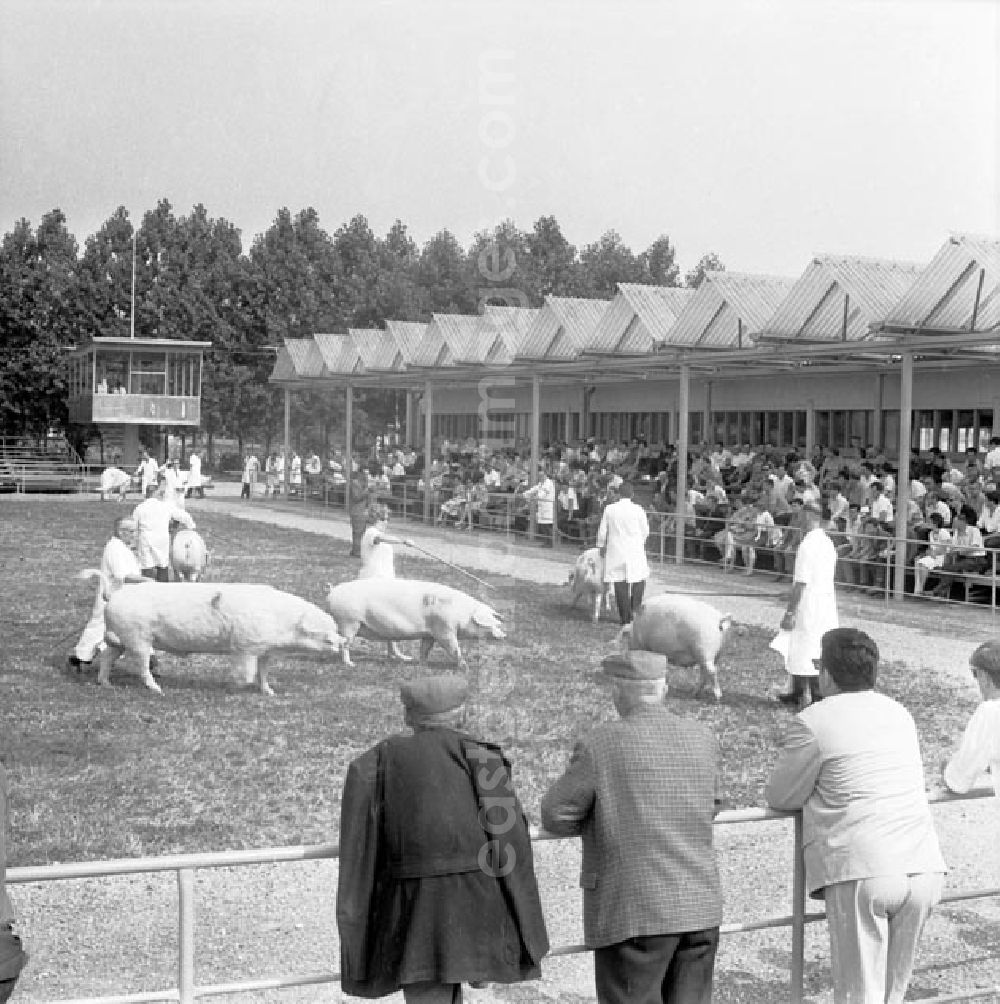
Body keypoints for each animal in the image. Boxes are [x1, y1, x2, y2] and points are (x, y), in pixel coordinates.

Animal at [99, 586, 345, 694]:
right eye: (326, 634)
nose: (342, 640)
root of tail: (113, 596)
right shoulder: (245, 646)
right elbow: (247, 673)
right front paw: (231, 687)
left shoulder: (265, 650)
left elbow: (263, 672)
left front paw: (270, 692)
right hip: (137, 637)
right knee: (141, 665)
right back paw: (157, 689)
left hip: (120, 639)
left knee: (107, 656)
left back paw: (106, 684)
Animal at [321, 578, 504, 670]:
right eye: (491, 621)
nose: (504, 635)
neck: (462, 614)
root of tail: (333, 590)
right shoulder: (444, 629)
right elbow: (453, 647)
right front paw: (465, 667)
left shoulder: (429, 634)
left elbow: (425, 649)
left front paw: (422, 664)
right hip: (348, 622)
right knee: (344, 644)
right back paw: (350, 664)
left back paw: (406, 659)